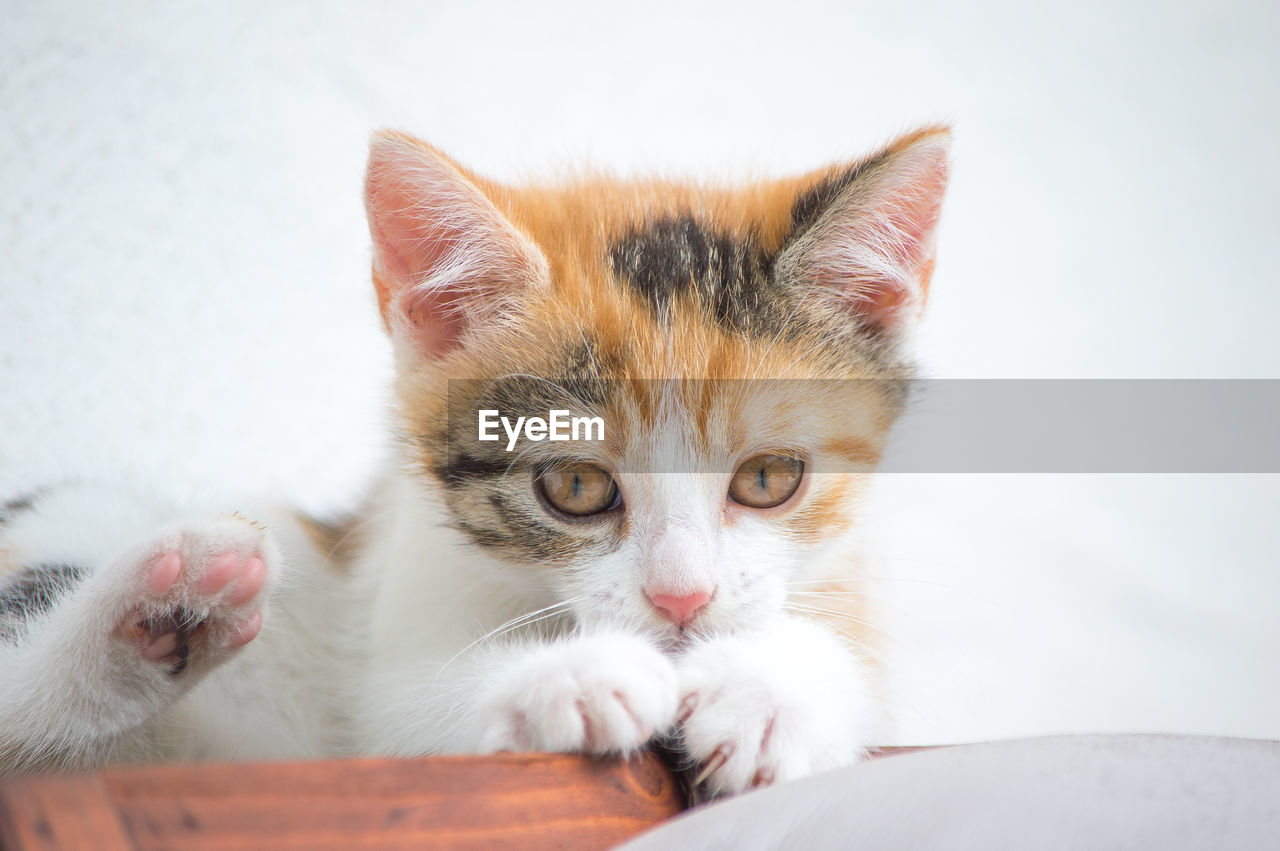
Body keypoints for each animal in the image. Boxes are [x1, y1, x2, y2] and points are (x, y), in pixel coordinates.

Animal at [0, 127, 952, 798]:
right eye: (575, 486)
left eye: (767, 479)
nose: (680, 599)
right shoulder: (394, 649)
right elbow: (416, 706)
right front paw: (573, 673)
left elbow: (844, 658)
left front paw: (769, 697)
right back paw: (170, 595)